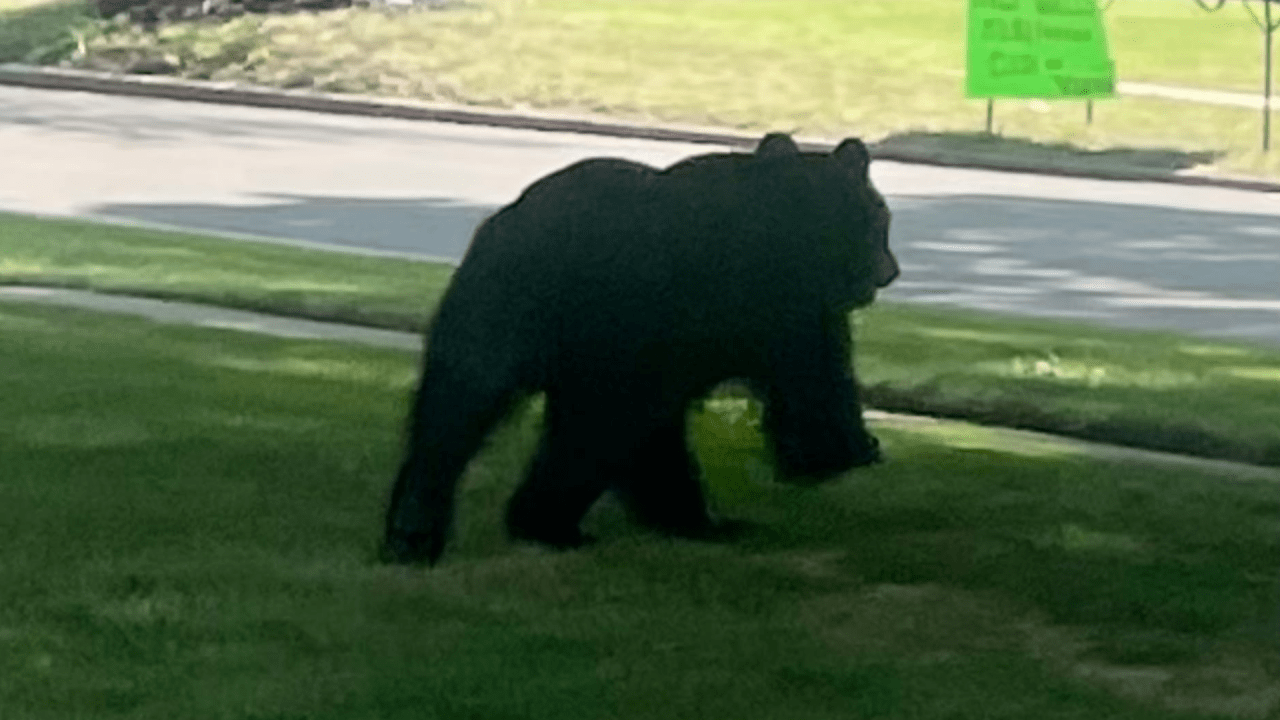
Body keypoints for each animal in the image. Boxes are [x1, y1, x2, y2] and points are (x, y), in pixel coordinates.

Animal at [381, 131, 901, 563]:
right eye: (878, 221)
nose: (890, 271)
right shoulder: (777, 309)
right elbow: (814, 380)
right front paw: (846, 451)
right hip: (585, 326)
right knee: (590, 428)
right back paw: (549, 522)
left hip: (494, 308)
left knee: (453, 410)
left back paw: (418, 531)